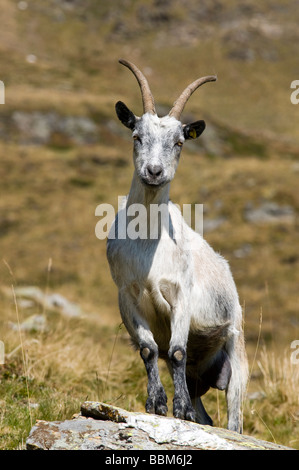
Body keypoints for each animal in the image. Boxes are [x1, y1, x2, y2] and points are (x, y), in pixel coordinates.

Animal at [106, 59, 250, 434]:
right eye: (136, 136)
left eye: (180, 142)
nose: (154, 171)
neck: (148, 245)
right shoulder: (127, 296)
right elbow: (148, 350)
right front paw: (157, 404)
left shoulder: (181, 295)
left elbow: (177, 352)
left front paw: (179, 408)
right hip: (202, 375)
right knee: (206, 413)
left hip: (237, 345)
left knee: (233, 416)